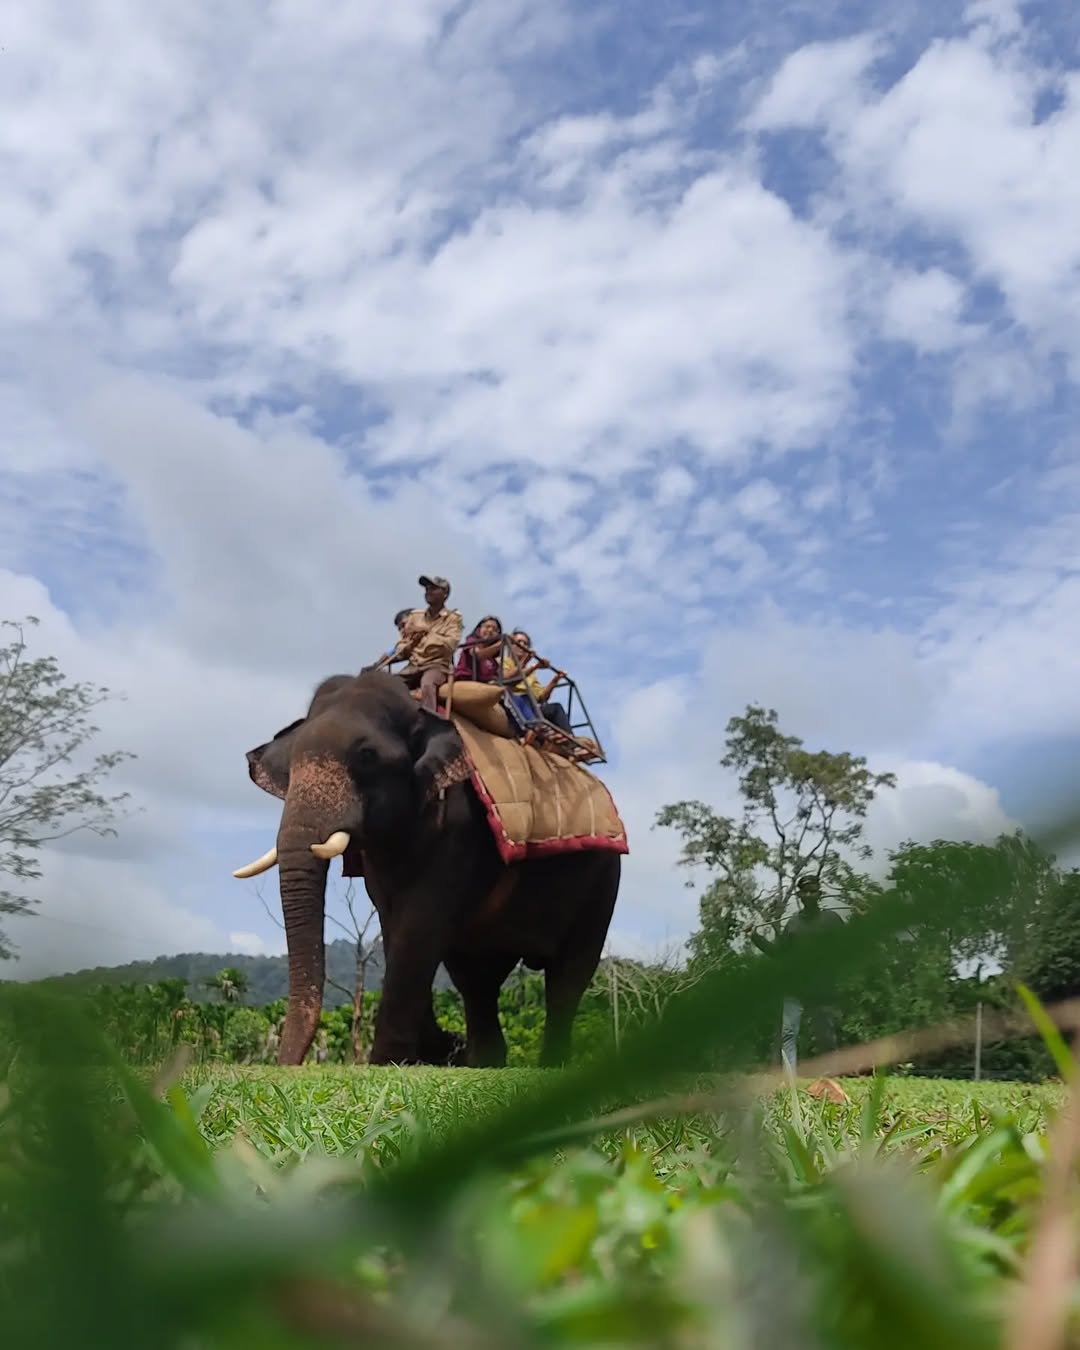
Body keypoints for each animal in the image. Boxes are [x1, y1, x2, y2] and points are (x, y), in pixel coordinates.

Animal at [232, 670, 622, 1068]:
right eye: (288, 765)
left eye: (367, 755)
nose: (286, 1065)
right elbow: (395, 927)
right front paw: (429, 1051)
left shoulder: (458, 826)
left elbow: (418, 924)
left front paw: (389, 1062)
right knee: (477, 980)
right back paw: (484, 1060)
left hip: (604, 880)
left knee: (568, 974)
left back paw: (550, 1064)